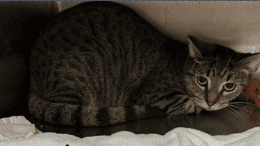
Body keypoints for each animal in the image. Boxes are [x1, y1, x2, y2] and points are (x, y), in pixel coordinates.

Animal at [29, 1, 260, 126]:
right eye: (202, 81)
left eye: (229, 86)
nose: (211, 102)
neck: (179, 67)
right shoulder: (154, 93)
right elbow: (190, 104)